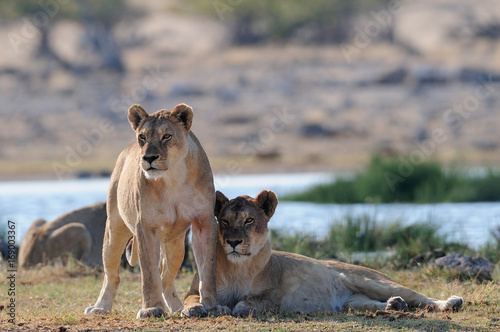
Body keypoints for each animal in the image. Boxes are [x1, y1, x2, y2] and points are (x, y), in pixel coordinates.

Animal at [182, 189, 462, 316]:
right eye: (225, 221)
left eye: (249, 220)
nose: (233, 242)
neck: (237, 266)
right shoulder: (195, 288)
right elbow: (192, 300)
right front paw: (197, 309)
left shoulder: (272, 295)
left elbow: (244, 303)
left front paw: (230, 308)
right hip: (353, 301)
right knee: (372, 303)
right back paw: (396, 305)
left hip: (373, 281)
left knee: (420, 297)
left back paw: (451, 302)